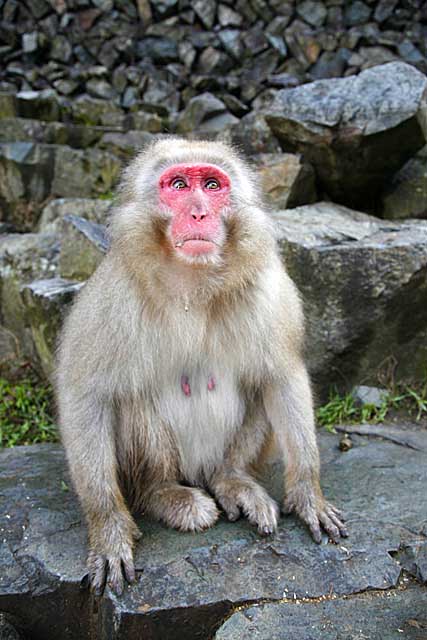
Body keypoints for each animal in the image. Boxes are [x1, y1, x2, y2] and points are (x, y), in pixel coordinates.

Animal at [55, 138, 348, 596]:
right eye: (178, 184)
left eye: (211, 185)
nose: (198, 213)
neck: (193, 282)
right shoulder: (114, 293)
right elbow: (86, 393)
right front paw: (108, 529)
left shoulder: (268, 287)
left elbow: (281, 377)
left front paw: (307, 493)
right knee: (134, 402)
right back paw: (164, 494)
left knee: (256, 392)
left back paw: (233, 480)